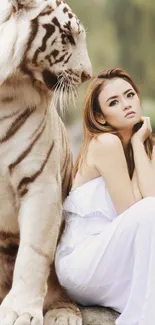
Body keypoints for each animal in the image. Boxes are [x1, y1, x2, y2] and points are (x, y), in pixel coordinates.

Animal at [0, 0, 92, 324]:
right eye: (68, 36)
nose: (88, 75)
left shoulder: (40, 183)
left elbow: (33, 253)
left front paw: (19, 312)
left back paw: (62, 314)